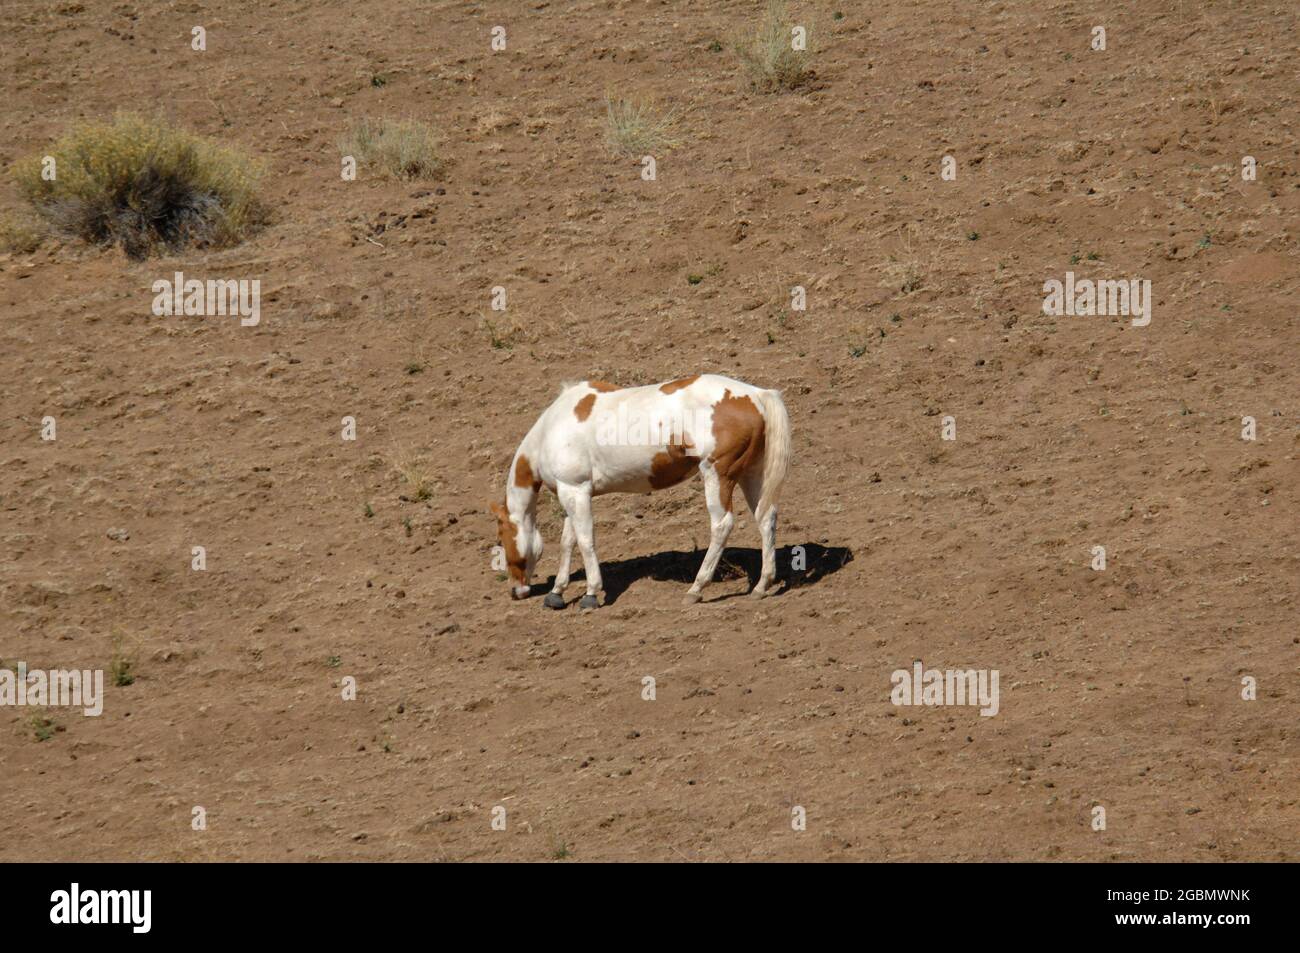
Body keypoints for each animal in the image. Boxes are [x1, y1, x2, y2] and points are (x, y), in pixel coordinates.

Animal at [488, 374, 785, 605]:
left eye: (501, 537)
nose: (515, 590)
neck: (553, 428)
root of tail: (757, 395)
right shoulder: (573, 493)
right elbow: (568, 542)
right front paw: (557, 592)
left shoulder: (575, 491)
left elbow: (585, 541)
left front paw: (591, 593)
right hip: (751, 474)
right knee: (766, 517)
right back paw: (762, 585)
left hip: (717, 475)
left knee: (722, 525)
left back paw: (697, 588)